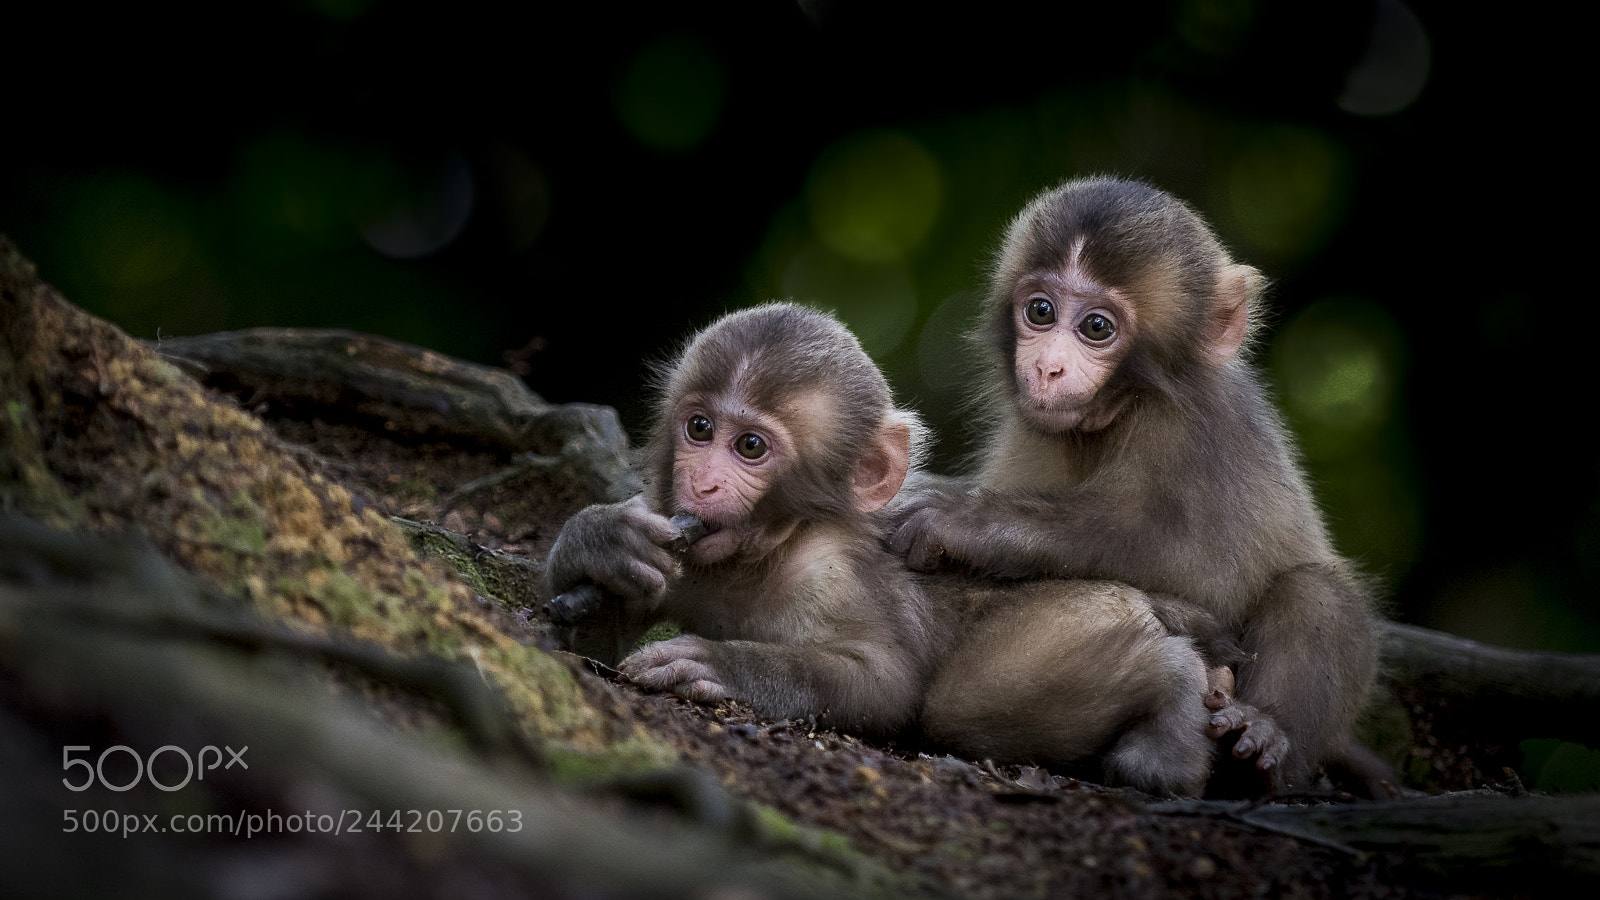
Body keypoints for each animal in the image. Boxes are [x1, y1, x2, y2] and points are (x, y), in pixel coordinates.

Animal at [544, 301, 1227, 795]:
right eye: (700, 428)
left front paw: (719, 663)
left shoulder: (833, 572)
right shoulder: (678, 548)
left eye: (750, 447)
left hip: (1082, 611)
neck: (759, 559)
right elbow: (590, 644)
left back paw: (1177, 697)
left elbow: (887, 685)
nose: (704, 484)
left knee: (965, 702)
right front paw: (601, 542)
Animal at [890, 176, 1384, 794]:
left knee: (1316, 590)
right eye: (1041, 311)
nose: (1048, 367)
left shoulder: (1194, 431)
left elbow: (1200, 569)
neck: (1116, 414)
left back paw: (1264, 737)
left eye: (1097, 327)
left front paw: (961, 521)